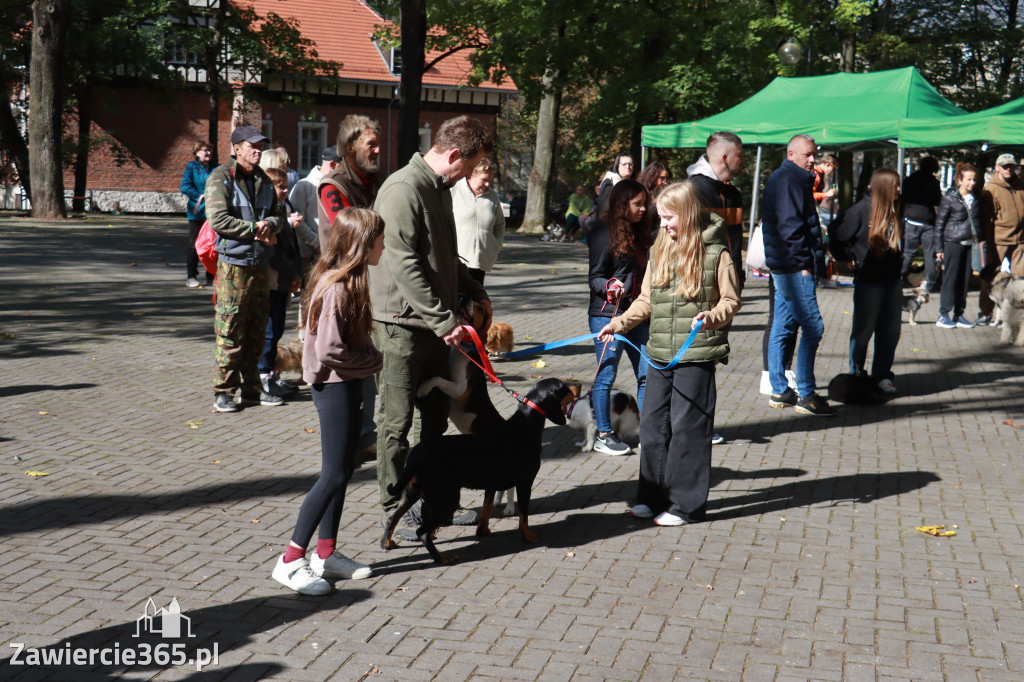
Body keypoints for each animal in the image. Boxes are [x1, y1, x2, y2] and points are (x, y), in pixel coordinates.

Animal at [380, 376, 581, 561]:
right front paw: (528, 536)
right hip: (447, 499)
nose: (579, 385)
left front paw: (483, 531)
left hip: (411, 492)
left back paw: (387, 543)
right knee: (422, 531)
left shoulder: (491, 484)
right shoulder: (525, 483)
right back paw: (441, 558)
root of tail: (416, 454)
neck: (524, 426)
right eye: (562, 386)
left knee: (392, 518)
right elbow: (523, 515)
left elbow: (486, 509)